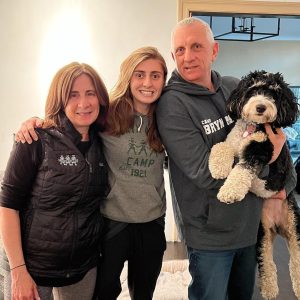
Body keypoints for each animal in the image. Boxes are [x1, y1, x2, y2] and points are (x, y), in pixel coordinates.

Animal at [209, 71, 300, 300]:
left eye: (273, 94)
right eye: (253, 91)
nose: (261, 107)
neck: (253, 127)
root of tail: (278, 226)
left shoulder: (260, 149)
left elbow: (242, 169)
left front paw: (229, 191)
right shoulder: (233, 142)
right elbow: (221, 146)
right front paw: (218, 167)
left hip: (294, 225)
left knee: (296, 260)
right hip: (262, 234)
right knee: (267, 263)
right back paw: (269, 289)